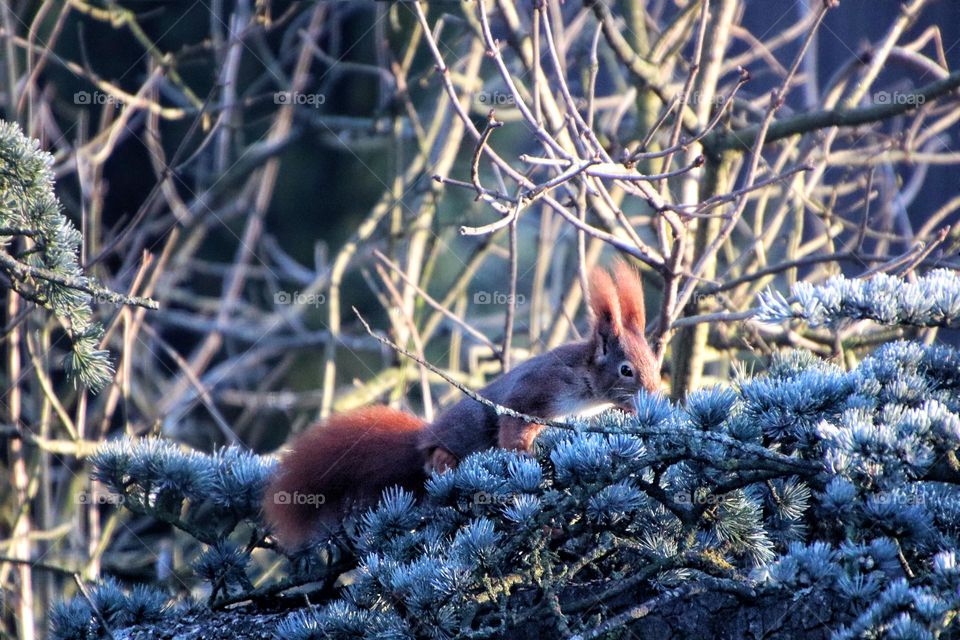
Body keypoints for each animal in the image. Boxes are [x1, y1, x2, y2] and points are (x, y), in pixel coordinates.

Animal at [262, 262, 660, 548]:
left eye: (655, 362)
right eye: (626, 370)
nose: (655, 395)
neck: (585, 383)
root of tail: (423, 435)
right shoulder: (537, 390)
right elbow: (515, 426)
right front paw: (524, 455)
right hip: (458, 437)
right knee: (437, 458)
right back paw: (448, 465)